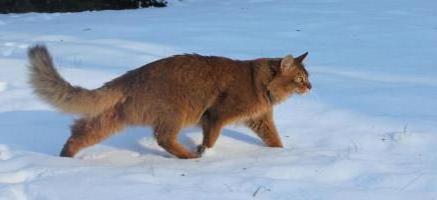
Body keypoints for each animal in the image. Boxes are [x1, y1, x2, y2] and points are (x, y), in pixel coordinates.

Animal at [27, 45, 310, 159]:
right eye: (299, 78)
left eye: (307, 77)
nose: (310, 86)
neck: (257, 81)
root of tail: (132, 76)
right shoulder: (215, 115)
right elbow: (211, 138)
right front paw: (205, 152)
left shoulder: (261, 120)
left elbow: (274, 139)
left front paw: (282, 154)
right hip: (177, 111)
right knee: (163, 138)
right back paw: (188, 157)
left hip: (114, 117)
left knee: (82, 130)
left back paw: (65, 156)